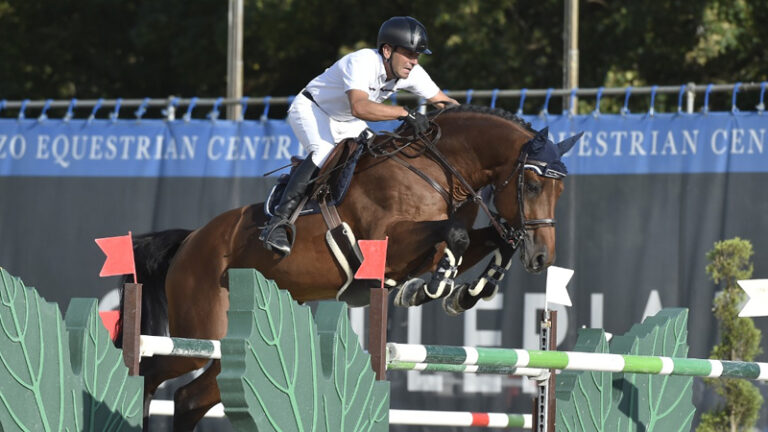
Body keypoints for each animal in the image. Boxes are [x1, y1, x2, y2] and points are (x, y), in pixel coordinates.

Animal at [117, 104, 580, 428]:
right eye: (532, 184)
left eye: (560, 191)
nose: (543, 258)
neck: (438, 169)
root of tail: (190, 240)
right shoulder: (390, 241)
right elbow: (455, 236)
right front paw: (431, 288)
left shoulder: (431, 245)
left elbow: (482, 240)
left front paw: (466, 291)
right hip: (200, 332)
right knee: (152, 370)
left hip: (232, 346)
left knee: (190, 398)